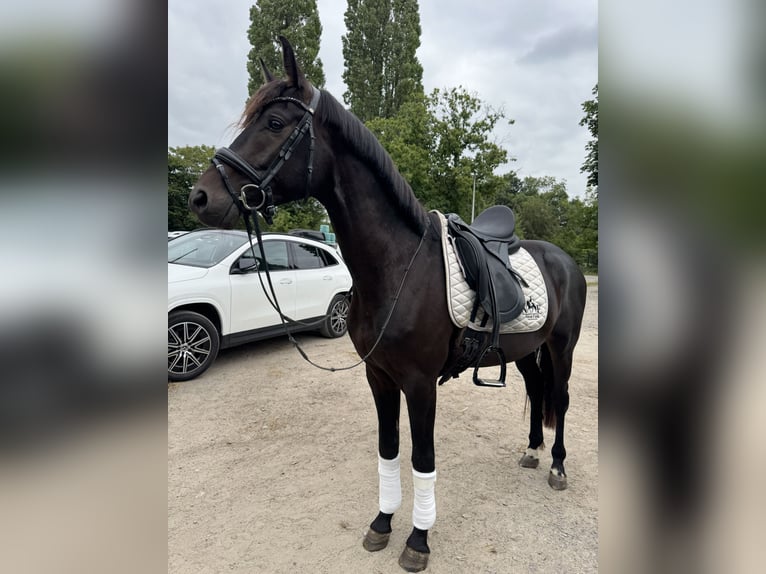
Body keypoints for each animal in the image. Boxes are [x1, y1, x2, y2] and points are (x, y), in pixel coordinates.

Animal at [189, 37, 586, 573]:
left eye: (273, 123)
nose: (200, 196)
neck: (397, 268)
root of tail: (564, 259)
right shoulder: (378, 377)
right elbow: (389, 449)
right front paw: (382, 523)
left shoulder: (420, 383)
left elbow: (422, 458)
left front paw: (418, 539)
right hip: (525, 351)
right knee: (537, 390)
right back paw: (532, 451)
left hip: (562, 347)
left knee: (559, 398)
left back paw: (558, 465)